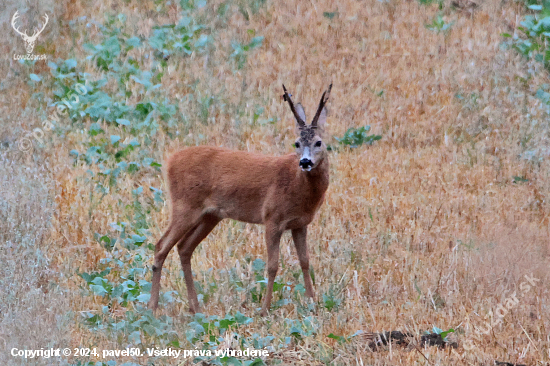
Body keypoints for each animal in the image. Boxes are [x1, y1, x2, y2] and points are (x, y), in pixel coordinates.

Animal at [147, 84, 334, 316]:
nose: (305, 162)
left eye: (318, 142)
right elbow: (272, 265)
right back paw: (153, 306)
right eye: (297, 143)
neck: (297, 185)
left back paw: (195, 307)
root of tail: (170, 161)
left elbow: (305, 261)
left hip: (210, 215)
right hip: (184, 205)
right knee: (160, 246)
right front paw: (264, 309)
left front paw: (312, 303)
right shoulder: (272, 217)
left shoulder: (300, 223)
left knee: (184, 247)